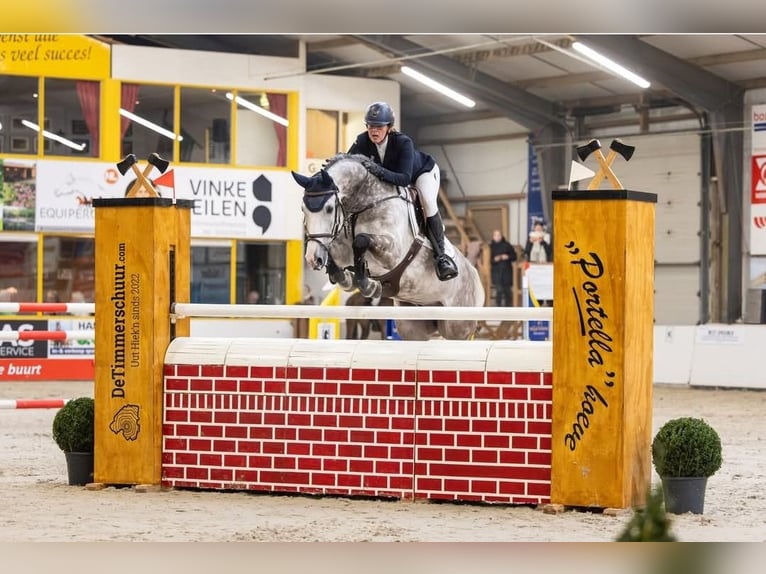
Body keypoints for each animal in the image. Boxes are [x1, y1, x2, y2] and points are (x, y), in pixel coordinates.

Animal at [292, 153, 484, 342]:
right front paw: (344, 278)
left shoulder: (392, 252)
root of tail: (476, 278)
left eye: (330, 209)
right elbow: (335, 252)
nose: (312, 258)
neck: (364, 203)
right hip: (414, 325)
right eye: (302, 209)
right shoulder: (341, 248)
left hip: (456, 325)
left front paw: (369, 285)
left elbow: (360, 241)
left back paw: (446, 266)